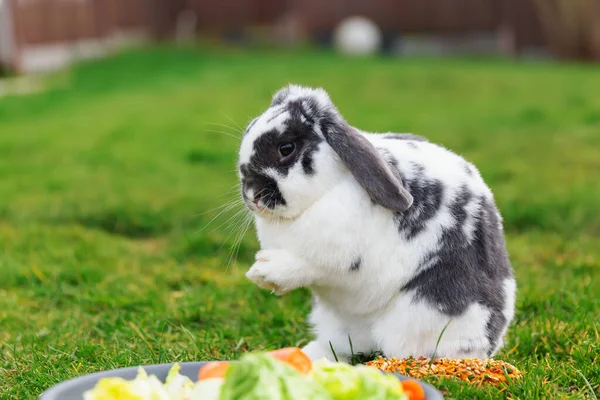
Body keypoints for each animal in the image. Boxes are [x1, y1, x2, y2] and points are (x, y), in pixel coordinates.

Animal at [238, 84, 516, 362]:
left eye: (286, 148)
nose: (252, 195)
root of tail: (492, 341)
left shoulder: (340, 256)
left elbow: (309, 265)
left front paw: (263, 271)